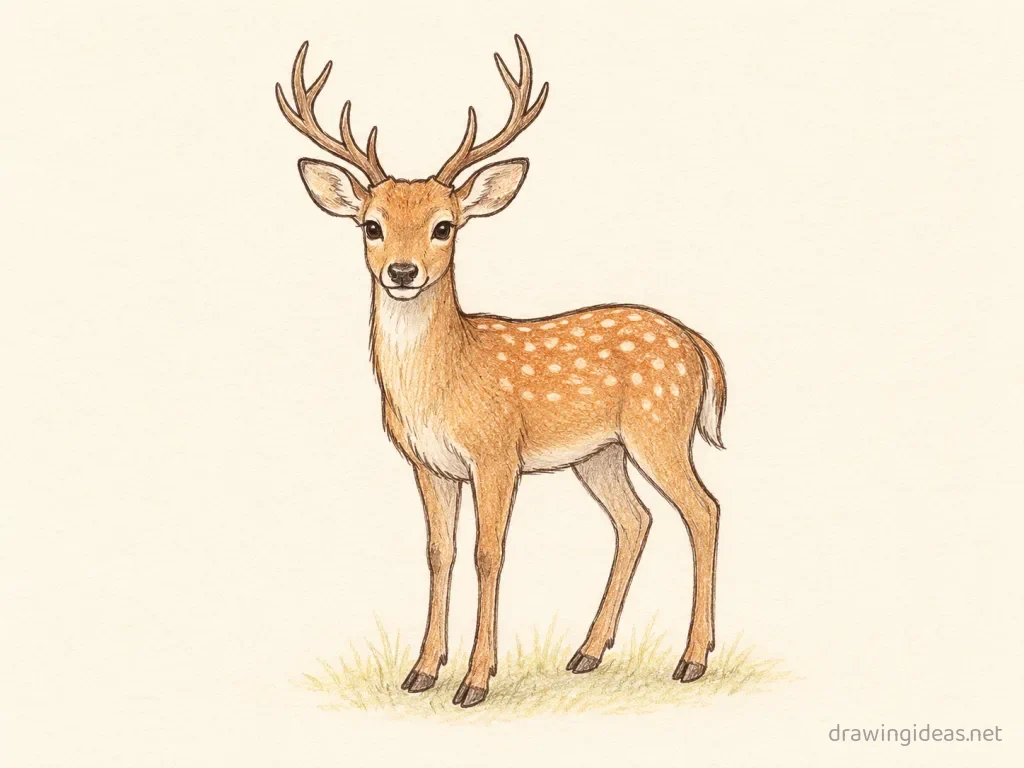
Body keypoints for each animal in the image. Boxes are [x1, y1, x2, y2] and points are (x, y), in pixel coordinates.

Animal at [276, 35, 727, 709]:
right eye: (371, 225)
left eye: (444, 226)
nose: (403, 271)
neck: (443, 383)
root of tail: (696, 343)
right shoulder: (430, 464)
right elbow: (439, 553)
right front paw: (421, 670)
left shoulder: (495, 453)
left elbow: (488, 553)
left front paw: (475, 679)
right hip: (600, 452)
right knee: (635, 520)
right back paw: (588, 653)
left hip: (661, 426)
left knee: (703, 510)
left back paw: (692, 659)